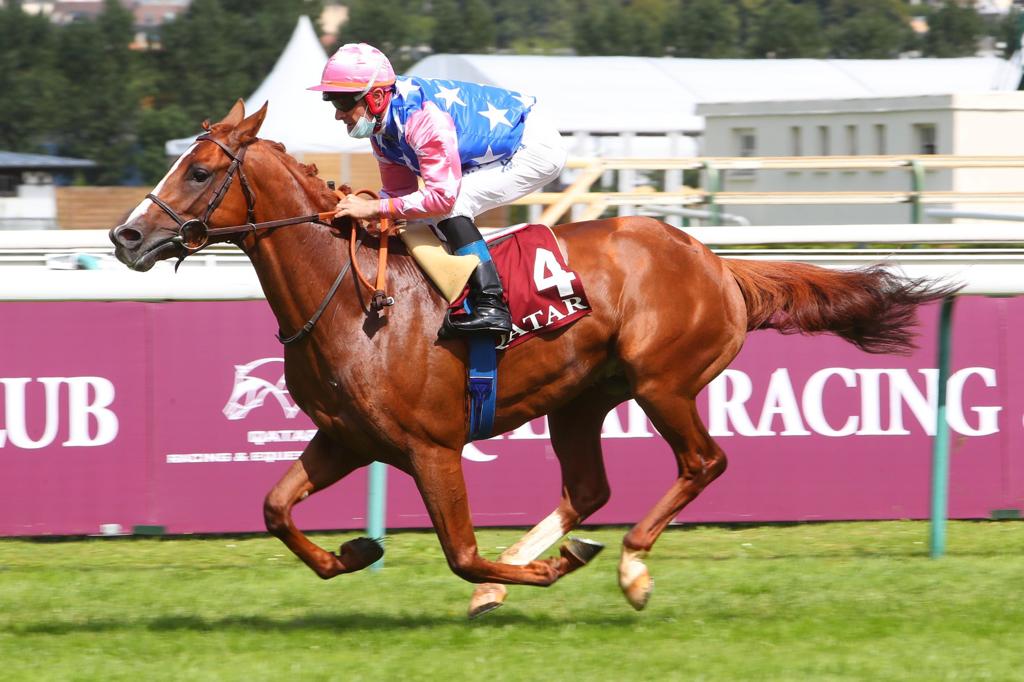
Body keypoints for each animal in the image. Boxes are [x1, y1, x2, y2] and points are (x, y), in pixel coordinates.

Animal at [110, 100, 950, 614]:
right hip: (582, 398)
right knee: (587, 488)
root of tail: (716, 264)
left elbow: (461, 553)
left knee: (702, 463)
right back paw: (553, 557)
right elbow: (275, 509)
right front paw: (355, 551)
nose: (126, 236)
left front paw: (534, 575)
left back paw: (629, 567)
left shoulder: (432, 447)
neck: (350, 298)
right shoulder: (346, 437)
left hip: (662, 381)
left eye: (200, 170)